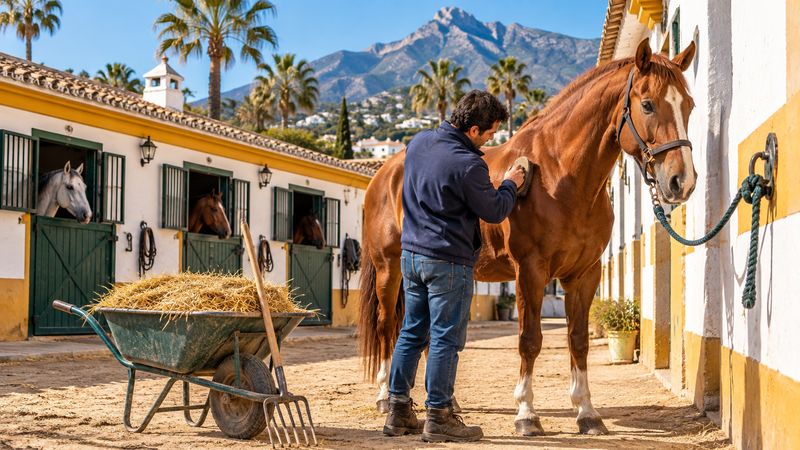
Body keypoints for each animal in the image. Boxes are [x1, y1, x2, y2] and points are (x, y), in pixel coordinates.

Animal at [357, 38, 697, 436]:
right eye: (647, 104)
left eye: (689, 105)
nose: (682, 181)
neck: (560, 175)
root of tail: (385, 173)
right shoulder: (530, 272)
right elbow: (530, 340)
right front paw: (526, 414)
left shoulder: (585, 274)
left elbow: (578, 340)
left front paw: (587, 413)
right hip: (389, 269)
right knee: (387, 327)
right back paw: (386, 398)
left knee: (428, 334)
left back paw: (444, 404)